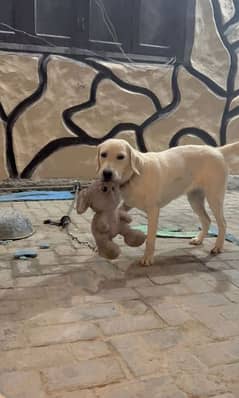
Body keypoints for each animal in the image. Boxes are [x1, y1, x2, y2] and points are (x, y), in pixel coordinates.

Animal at [96, 138, 238, 266]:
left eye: (121, 157)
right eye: (103, 154)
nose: (107, 173)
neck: (136, 175)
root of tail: (216, 150)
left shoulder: (153, 211)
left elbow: (150, 239)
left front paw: (148, 258)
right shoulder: (127, 204)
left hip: (214, 198)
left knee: (222, 223)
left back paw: (218, 247)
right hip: (194, 199)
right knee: (206, 220)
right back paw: (199, 239)